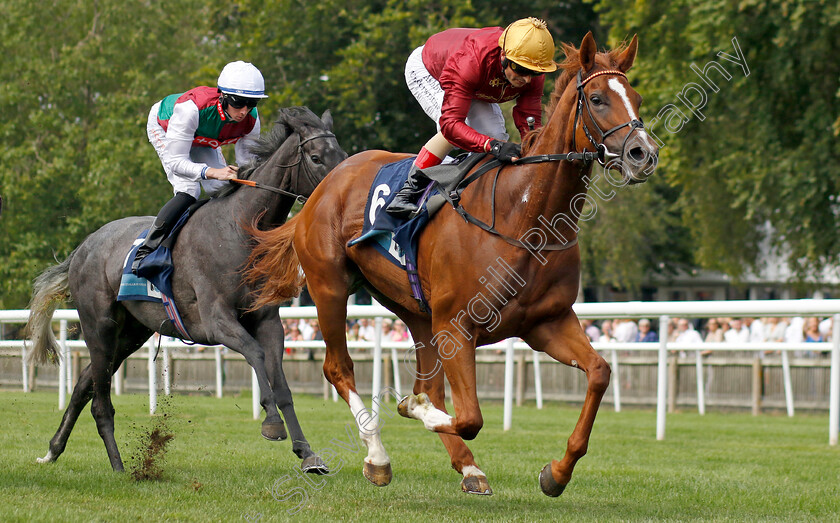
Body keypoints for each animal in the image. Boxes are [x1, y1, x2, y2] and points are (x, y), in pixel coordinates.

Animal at [25, 106, 348, 474]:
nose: (341, 191)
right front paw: (271, 423)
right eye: (316, 157)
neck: (240, 229)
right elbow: (256, 354)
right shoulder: (216, 320)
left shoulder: (267, 320)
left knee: (83, 385)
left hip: (131, 332)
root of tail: (82, 247)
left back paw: (53, 450)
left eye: (342, 155)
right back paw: (119, 467)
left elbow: (280, 380)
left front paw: (307, 453)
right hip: (100, 325)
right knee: (100, 400)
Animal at [246, 30, 660, 498]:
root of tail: (324, 184)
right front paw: (412, 410)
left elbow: (599, 373)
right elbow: (470, 417)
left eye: (637, 98)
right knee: (340, 367)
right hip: (329, 286)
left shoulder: (546, 322)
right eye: (597, 98)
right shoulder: (458, 325)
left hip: (416, 310)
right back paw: (378, 456)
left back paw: (467, 466)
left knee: (429, 383)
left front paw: (556, 472)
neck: (524, 217)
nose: (643, 153)